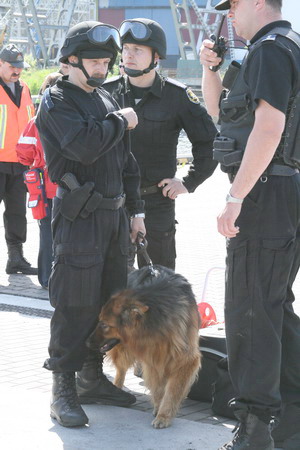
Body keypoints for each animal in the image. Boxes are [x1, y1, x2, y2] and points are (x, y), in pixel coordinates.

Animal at [89, 266, 202, 430]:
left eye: (104, 324)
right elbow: (158, 388)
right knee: (121, 369)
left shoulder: (184, 359)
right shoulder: (153, 358)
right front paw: (159, 408)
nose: (87, 342)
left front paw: (164, 415)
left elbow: (172, 390)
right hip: (124, 351)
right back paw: (116, 388)